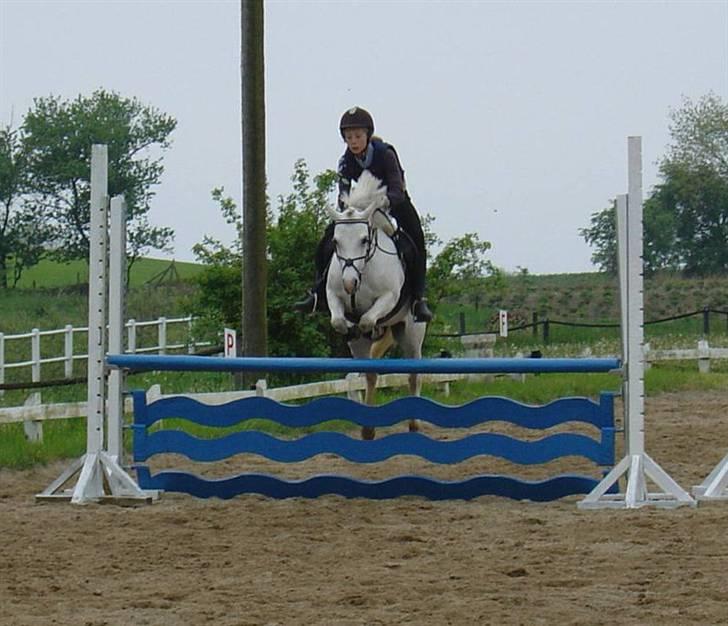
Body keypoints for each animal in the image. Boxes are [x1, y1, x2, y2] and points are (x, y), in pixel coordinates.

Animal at [326, 168, 426, 436]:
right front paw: (349, 325)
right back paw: (368, 429)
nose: (350, 284)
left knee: (413, 374)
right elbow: (338, 320)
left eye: (363, 239)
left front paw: (366, 325)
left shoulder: (389, 297)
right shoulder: (332, 295)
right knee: (370, 374)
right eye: (335, 241)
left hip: (412, 334)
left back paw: (414, 424)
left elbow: (368, 318)